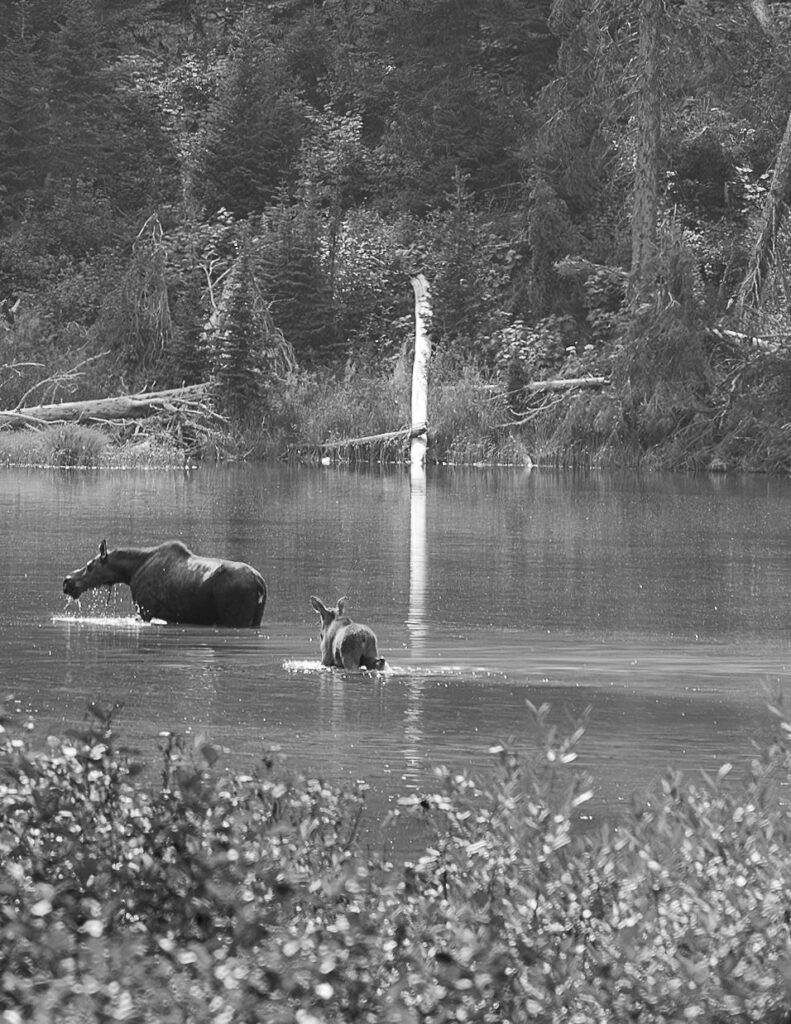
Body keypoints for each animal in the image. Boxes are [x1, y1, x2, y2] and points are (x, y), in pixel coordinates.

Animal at [62, 540, 266, 626]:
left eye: (89, 565)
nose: (67, 581)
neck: (131, 571)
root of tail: (260, 584)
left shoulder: (145, 611)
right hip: (255, 620)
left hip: (236, 618)